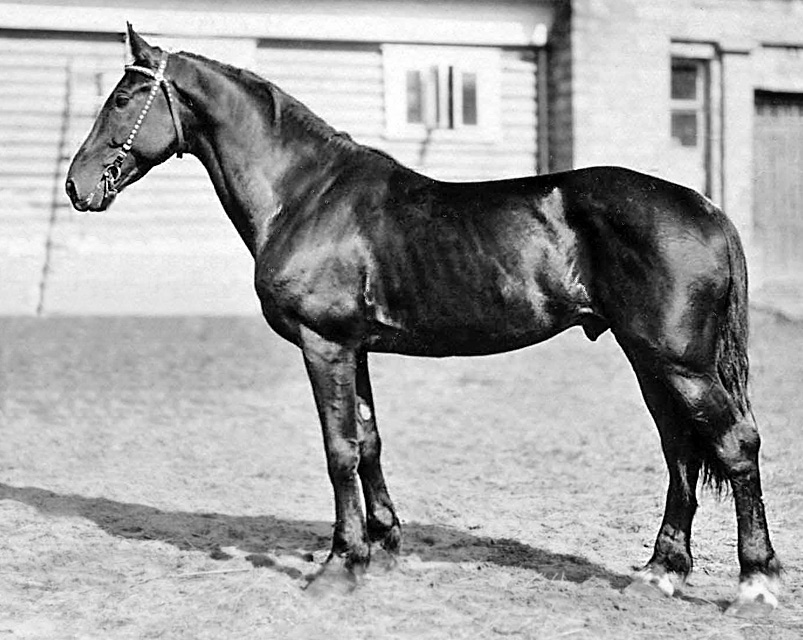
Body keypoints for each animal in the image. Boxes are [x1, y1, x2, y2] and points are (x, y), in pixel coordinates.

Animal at [65, 24, 780, 614]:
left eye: (124, 99)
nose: (77, 185)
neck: (304, 194)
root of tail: (705, 207)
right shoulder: (353, 348)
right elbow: (369, 441)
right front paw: (383, 546)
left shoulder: (323, 345)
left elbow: (338, 450)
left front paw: (339, 566)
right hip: (649, 359)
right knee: (680, 451)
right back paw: (661, 572)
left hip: (679, 363)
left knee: (734, 444)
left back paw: (756, 583)